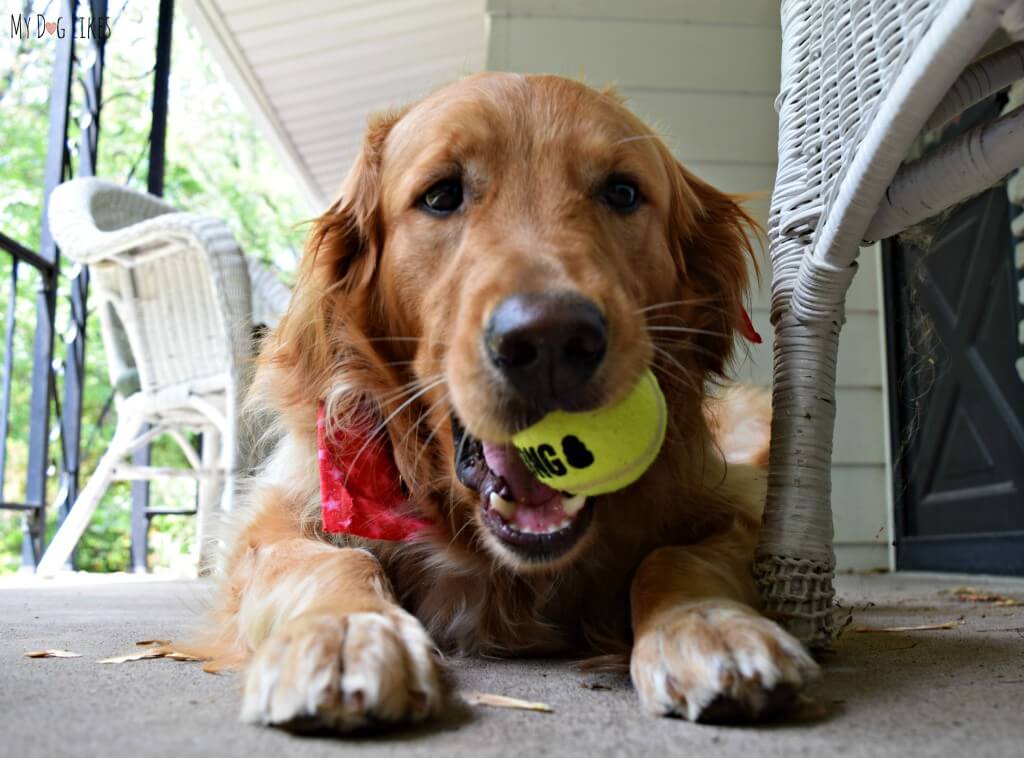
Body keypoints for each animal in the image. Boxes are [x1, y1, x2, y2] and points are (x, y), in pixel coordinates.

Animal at [197, 74, 815, 729]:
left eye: (623, 192)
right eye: (442, 195)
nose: (550, 341)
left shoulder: (738, 507)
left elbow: (676, 558)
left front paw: (710, 625)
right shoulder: (277, 516)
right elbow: (328, 560)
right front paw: (345, 630)